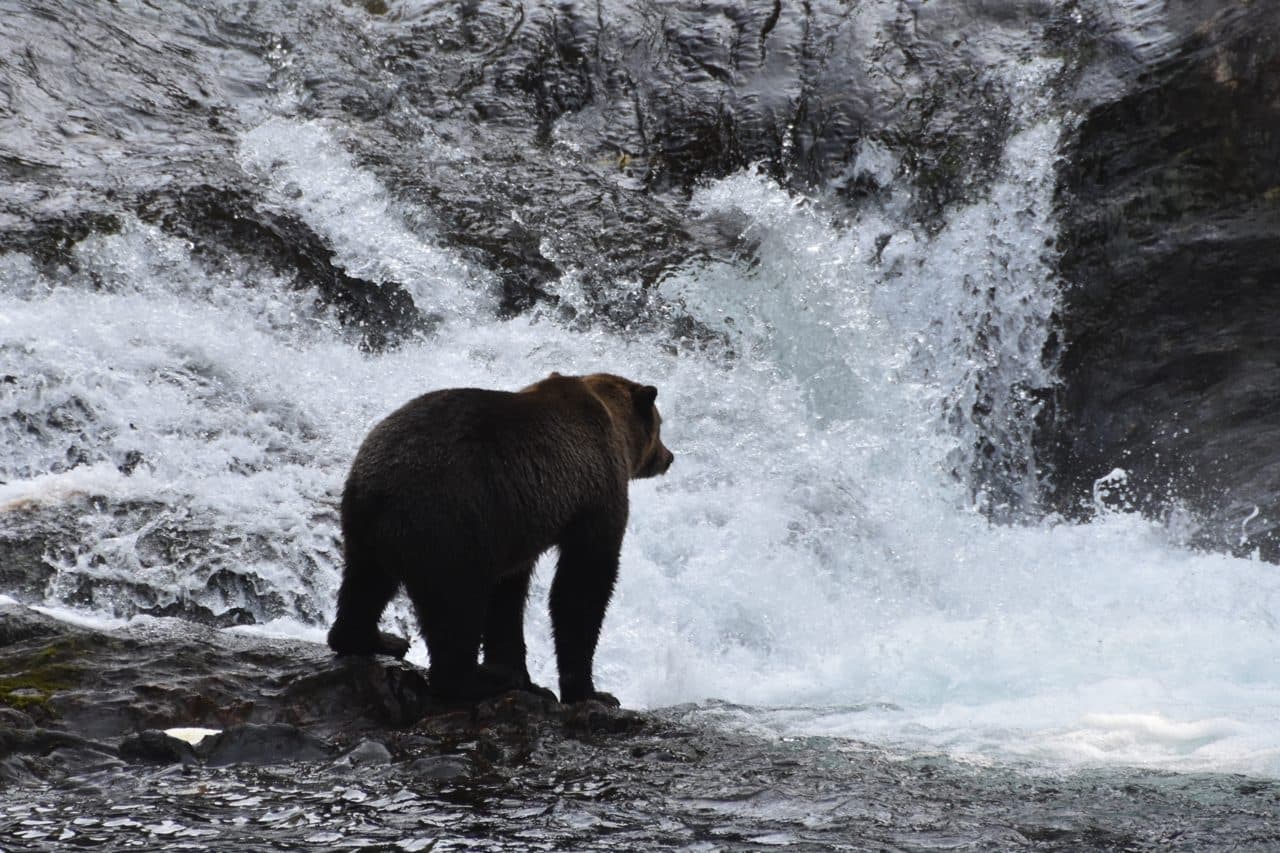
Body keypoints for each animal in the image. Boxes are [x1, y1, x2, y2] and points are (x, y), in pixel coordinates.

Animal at [326, 372, 674, 706]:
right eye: (660, 425)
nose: (669, 456)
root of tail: (379, 489)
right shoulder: (595, 494)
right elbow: (581, 585)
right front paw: (592, 693)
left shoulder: (515, 526)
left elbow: (507, 597)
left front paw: (523, 676)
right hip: (449, 525)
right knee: (457, 606)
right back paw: (476, 680)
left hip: (365, 526)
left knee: (365, 583)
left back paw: (376, 639)